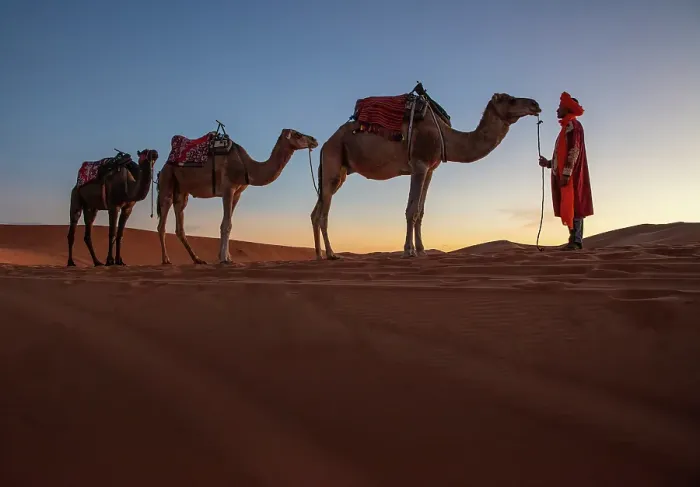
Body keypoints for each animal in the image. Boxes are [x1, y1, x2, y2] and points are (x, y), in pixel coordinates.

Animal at [156, 129, 318, 265]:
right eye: (298, 134)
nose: (314, 139)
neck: (246, 166)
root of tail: (164, 166)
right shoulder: (228, 188)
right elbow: (226, 224)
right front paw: (224, 259)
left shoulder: (237, 194)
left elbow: (228, 223)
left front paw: (227, 256)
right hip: (167, 181)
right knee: (162, 222)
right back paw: (166, 259)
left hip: (182, 191)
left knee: (180, 223)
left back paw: (197, 259)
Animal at [311, 91, 542, 259]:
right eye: (511, 100)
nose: (535, 104)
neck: (445, 137)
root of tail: (325, 144)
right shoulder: (419, 165)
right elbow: (411, 210)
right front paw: (408, 250)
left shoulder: (430, 170)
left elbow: (420, 211)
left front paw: (421, 249)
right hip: (333, 161)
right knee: (323, 213)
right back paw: (331, 254)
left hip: (340, 170)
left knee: (316, 211)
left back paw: (320, 256)